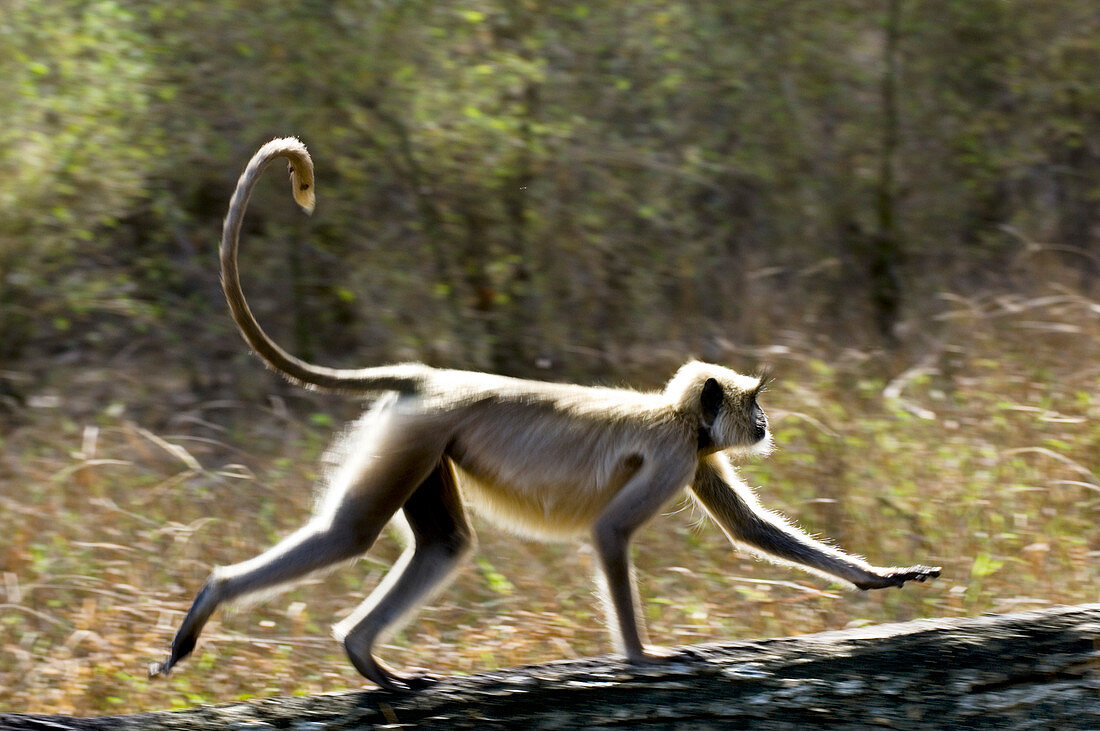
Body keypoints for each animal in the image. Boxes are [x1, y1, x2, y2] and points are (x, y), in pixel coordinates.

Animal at [148, 136, 937, 690]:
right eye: (756, 405)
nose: (768, 426)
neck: (677, 416)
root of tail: (431, 378)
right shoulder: (677, 452)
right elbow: (611, 530)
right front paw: (642, 658)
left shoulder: (698, 454)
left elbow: (750, 530)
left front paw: (881, 579)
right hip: (416, 435)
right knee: (352, 532)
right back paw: (216, 598)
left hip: (426, 445)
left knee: (443, 544)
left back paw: (365, 657)